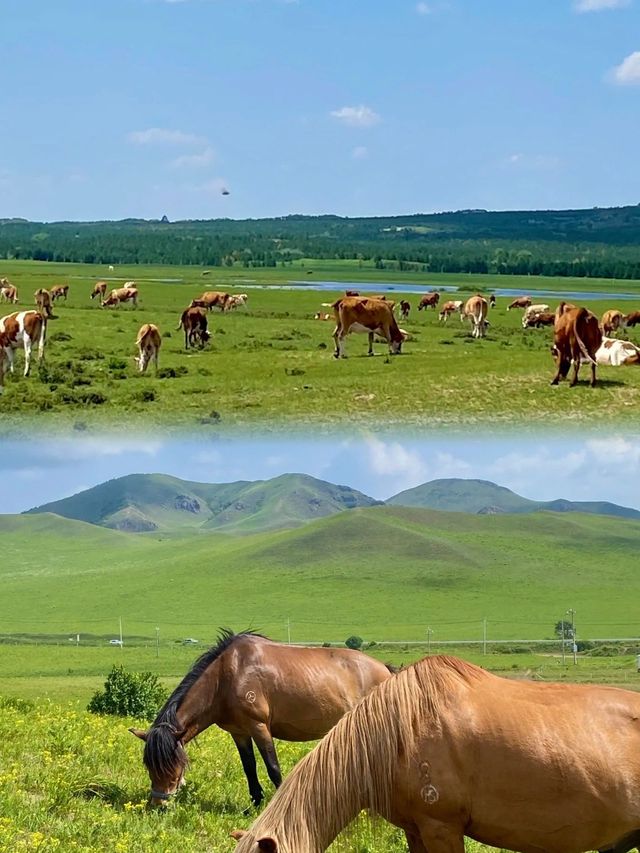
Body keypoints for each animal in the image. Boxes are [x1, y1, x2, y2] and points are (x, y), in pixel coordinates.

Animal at [128, 628, 392, 808]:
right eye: (148, 765)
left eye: (172, 764)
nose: (158, 804)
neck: (227, 677)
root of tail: (386, 669)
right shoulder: (239, 732)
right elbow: (249, 767)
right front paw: (255, 802)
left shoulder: (259, 727)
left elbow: (273, 767)